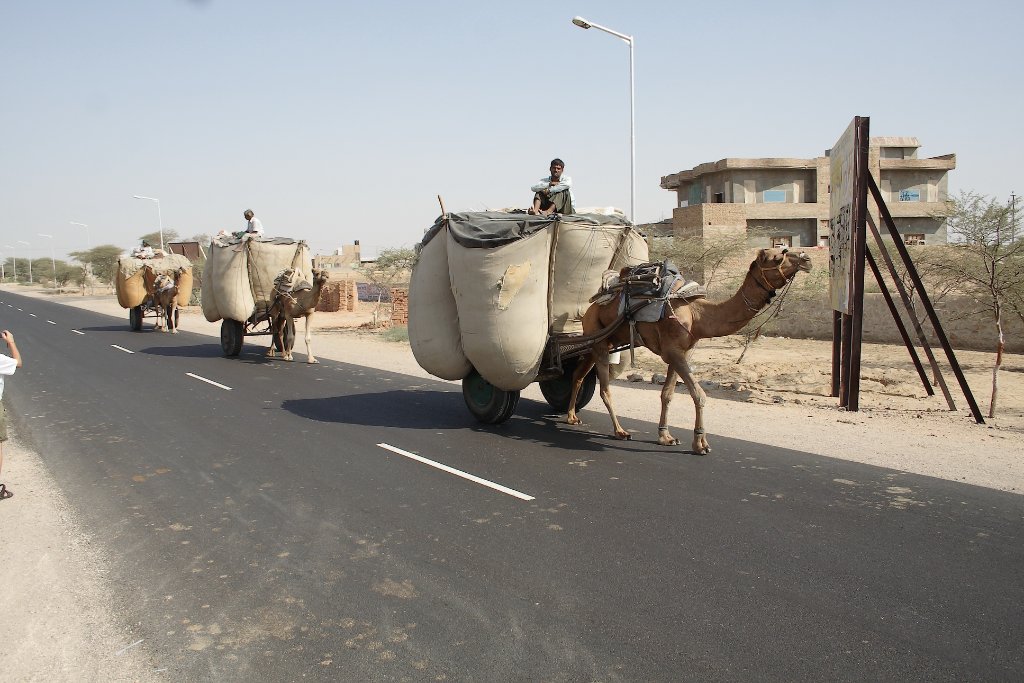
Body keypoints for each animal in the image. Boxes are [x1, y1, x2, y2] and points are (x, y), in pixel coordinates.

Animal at [565, 248, 811, 456]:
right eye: (777, 257)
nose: (806, 258)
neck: (697, 313)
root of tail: (590, 306)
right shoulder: (673, 351)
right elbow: (699, 394)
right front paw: (700, 443)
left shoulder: (682, 351)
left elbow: (667, 394)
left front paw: (665, 436)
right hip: (597, 338)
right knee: (604, 388)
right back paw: (620, 431)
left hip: (602, 341)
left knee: (578, 374)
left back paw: (571, 416)